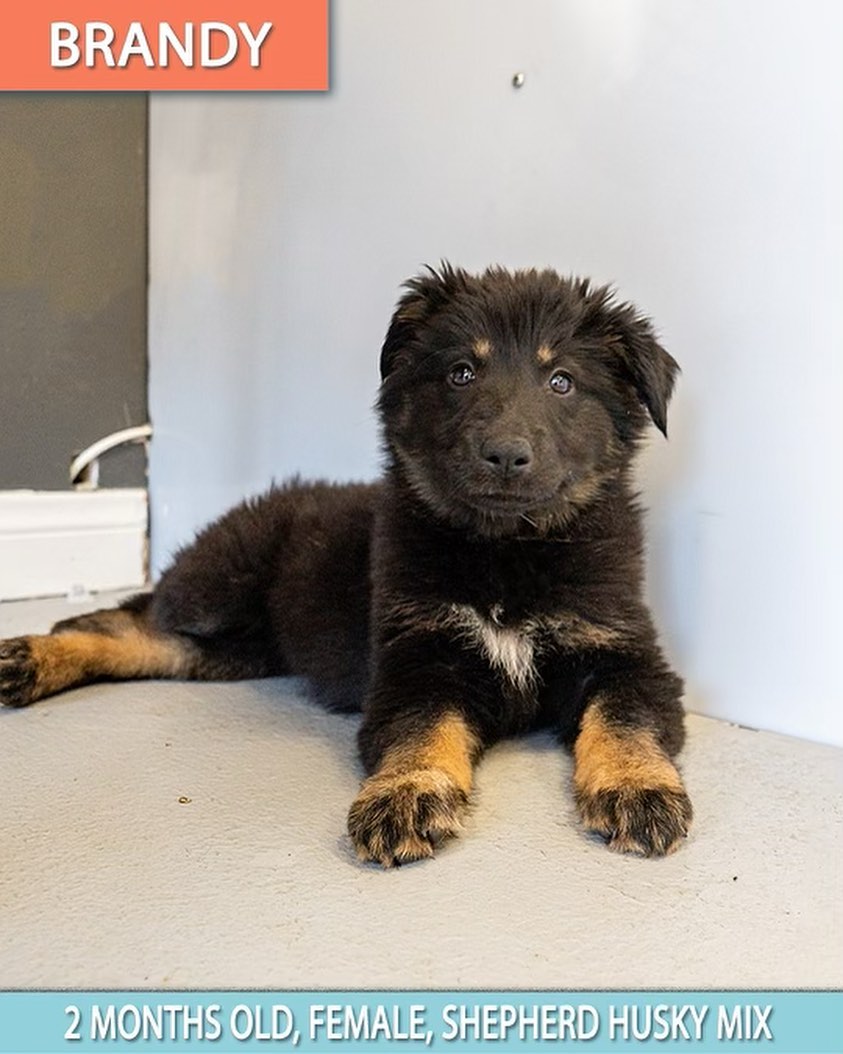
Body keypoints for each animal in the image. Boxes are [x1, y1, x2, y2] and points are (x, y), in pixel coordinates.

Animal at [0, 263, 691, 864]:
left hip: (238, 648)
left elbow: (623, 718)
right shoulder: (416, 659)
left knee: (149, 643)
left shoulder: (623, 651)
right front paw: (406, 792)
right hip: (217, 592)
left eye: (562, 382)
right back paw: (31, 656)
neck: (505, 551)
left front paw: (637, 785)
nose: (504, 455)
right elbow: (420, 728)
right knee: (126, 618)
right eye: (461, 373)